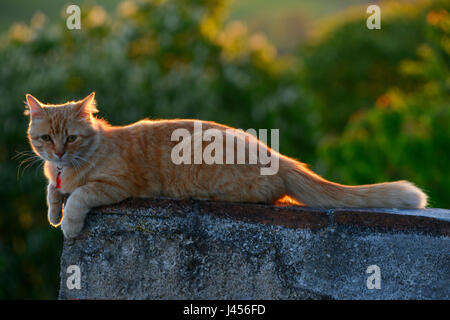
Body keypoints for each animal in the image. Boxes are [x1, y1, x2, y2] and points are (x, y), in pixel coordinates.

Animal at [26, 92, 428, 238]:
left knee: (272, 194)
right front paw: (53, 210)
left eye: (71, 138)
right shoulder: (54, 177)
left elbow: (79, 196)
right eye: (46, 138)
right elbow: (51, 191)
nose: (58, 153)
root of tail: (276, 155)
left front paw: (67, 223)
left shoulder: (115, 185)